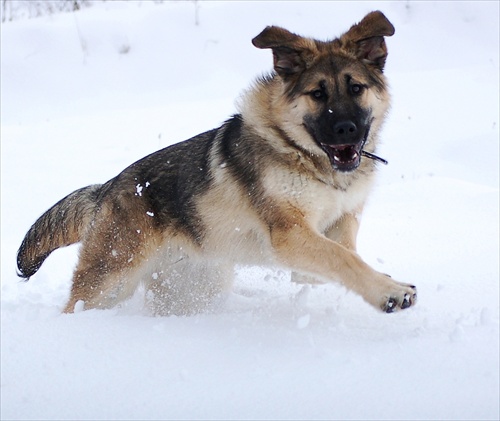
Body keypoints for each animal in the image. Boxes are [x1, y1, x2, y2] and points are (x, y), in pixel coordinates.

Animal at [15, 10, 416, 316]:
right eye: (317, 94)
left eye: (356, 88)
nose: (346, 129)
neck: (304, 156)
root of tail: (106, 189)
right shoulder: (290, 234)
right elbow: (344, 259)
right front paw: (390, 291)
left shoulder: (336, 225)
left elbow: (341, 257)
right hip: (112, 282)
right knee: (77, 306)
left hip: (193, 287)